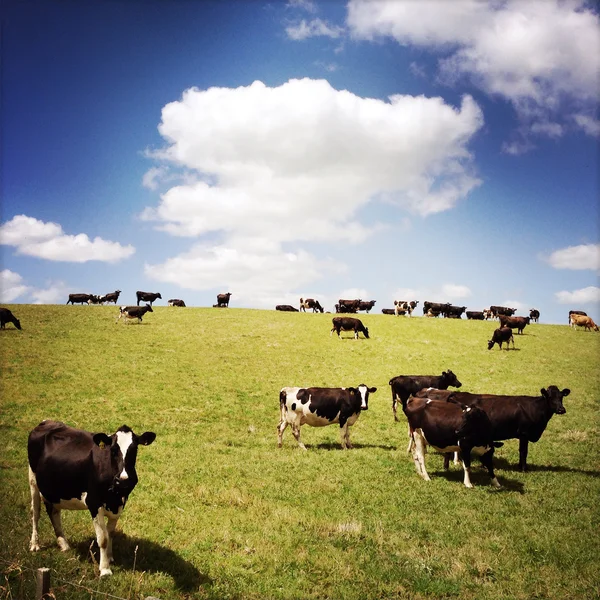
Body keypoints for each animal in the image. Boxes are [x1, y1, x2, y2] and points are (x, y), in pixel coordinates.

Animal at [27, 420, 155, 576]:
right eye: (113, 450)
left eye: (134, 449)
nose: (124, 479)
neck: (114, 496)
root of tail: (46, 422)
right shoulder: (94, 503)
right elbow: (103, 538)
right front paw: (105, 569)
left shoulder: (119, 505)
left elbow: (110, 533)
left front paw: (109, 557)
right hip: (33, 479)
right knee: (35, 512)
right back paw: (35, 544)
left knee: (53, 512)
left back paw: (64, 544)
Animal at [414, 386, 568, 472]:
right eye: (549, 397)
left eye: (561, 397)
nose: (561, 409)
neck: (535, 408)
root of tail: (456, 394)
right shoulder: (524, 433)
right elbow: (524, 452)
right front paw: (524, 469)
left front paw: (520, 466)